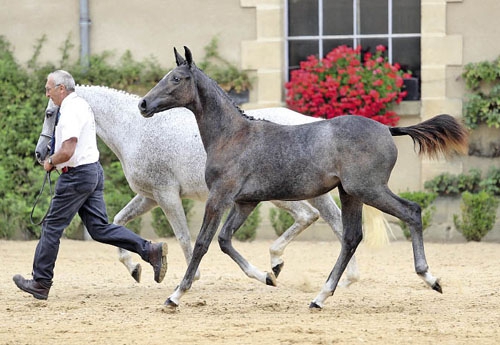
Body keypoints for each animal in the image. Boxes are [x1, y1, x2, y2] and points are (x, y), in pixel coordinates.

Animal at [36, 84, 360, 286]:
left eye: (51, 113)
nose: (40, 154)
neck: (135, 129)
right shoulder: (149, 196)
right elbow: (117, 222)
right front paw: (137, 268)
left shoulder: (166, 194)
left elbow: (182, 236)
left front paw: (192, 276)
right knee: (314, 217)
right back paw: (282, 265)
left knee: (331, 220)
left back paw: (343, 278)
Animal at [138, 46, 468, 310]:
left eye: (176, 78)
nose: (143, 104)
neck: (233, 136)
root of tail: (387, 129)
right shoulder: (246, 202)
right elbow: (224, 240)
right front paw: (268, 275)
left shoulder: (220, 196)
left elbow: (203, 243)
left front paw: (175, 296)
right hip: (351, 193)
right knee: (351, 237)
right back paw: (320, 297)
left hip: (368, 189)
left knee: (411, 211)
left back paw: (430, 278)